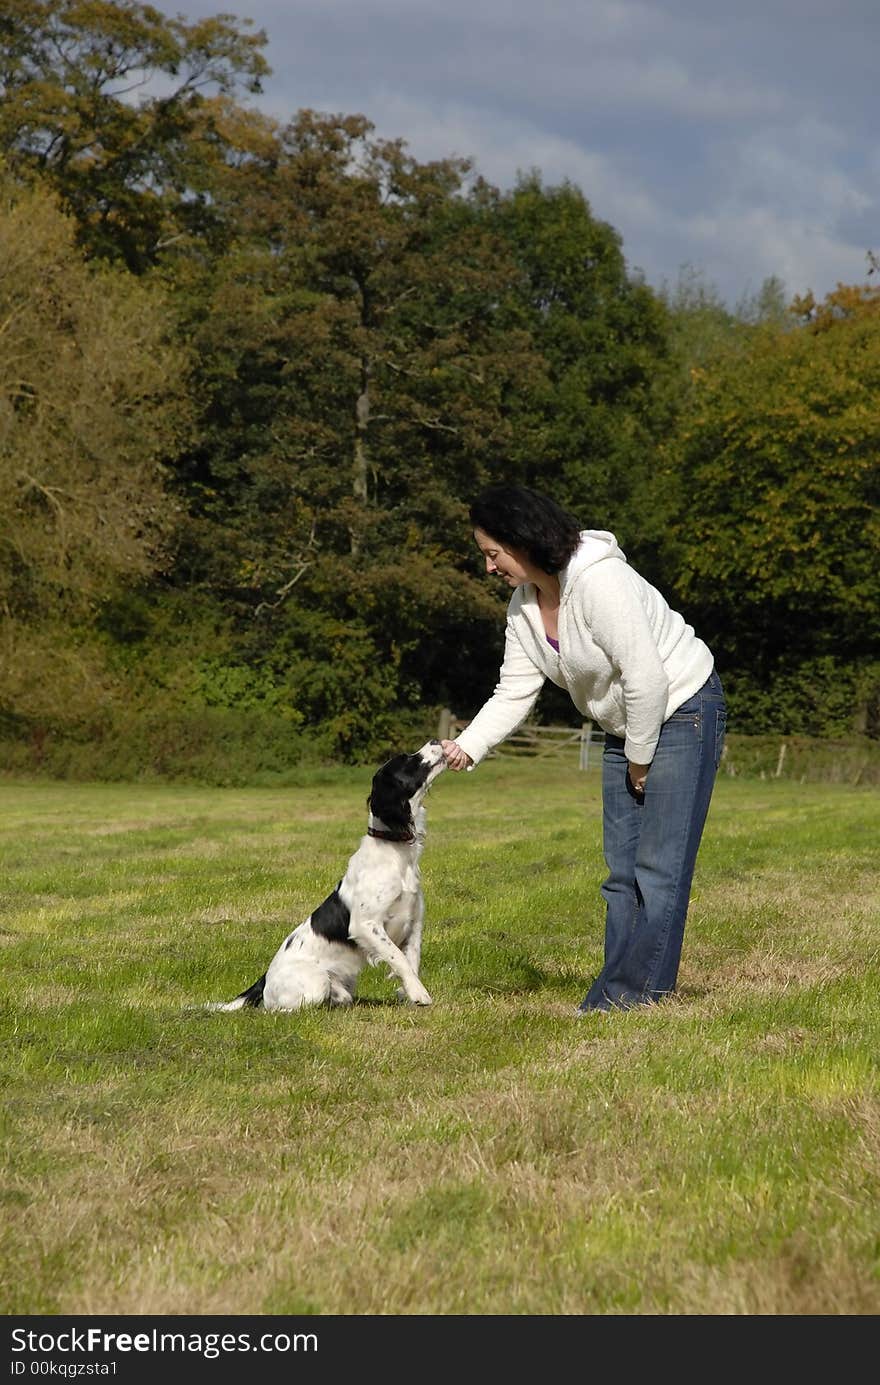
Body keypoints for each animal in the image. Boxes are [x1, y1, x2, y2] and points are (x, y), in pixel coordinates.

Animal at [210, 742, 446, 1013]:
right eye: (407, 760)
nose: (436, 741)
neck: (395, 852)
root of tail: (264, 978)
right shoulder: (366, 924)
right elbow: (398, 958)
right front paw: (419, 994)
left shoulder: (414, 922)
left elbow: (411, 960)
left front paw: (408, 993)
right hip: (317, 983)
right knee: (276, 1009)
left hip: (343, 989)